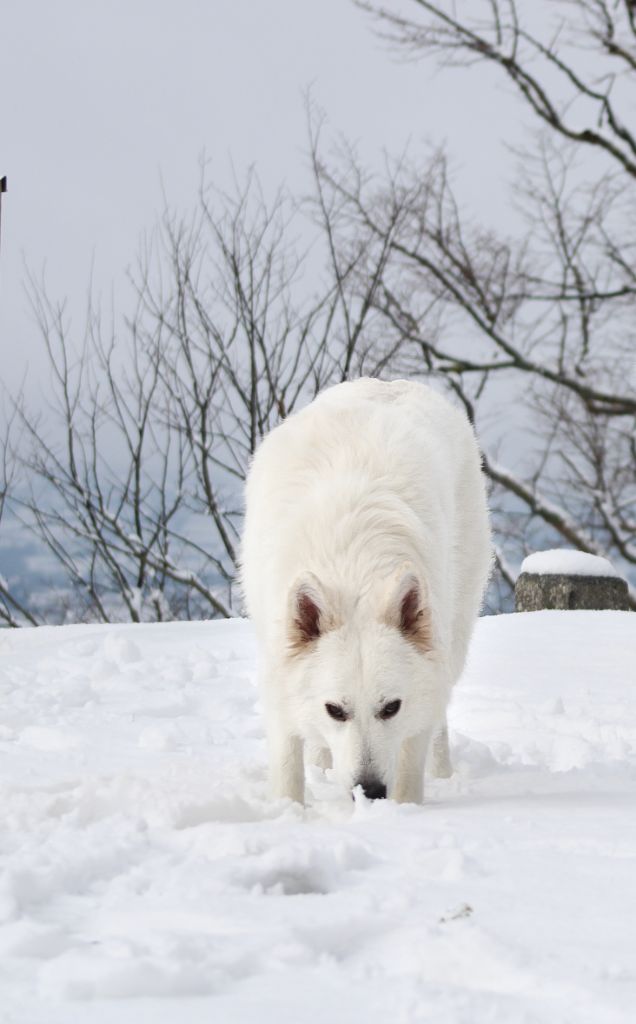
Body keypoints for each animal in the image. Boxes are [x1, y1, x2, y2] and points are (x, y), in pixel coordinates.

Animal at [239, 380, 491, 802]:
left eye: (391, 708)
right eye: (335, 710)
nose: (369, 791)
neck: (352, 570)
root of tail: (392, 382)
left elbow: (410, 760)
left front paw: (404, 810)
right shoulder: (279, 673)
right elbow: (288, 764)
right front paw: (290, 810)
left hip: (452, 634)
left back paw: (442, 772)